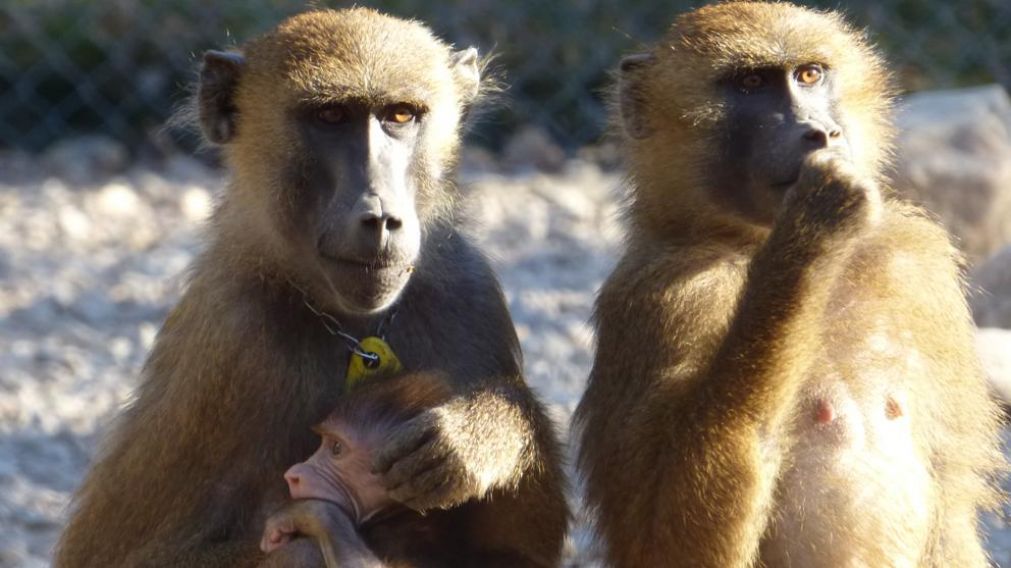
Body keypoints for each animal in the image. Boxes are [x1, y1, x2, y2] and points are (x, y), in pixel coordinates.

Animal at [574, 3, 1005, 567]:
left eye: (809, 75)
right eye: (752, 83)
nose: (820, 133)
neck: (743, 238)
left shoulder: (917, 264)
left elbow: (951, 506)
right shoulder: (660, 298)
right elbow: (662, 541)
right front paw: (807, 236)